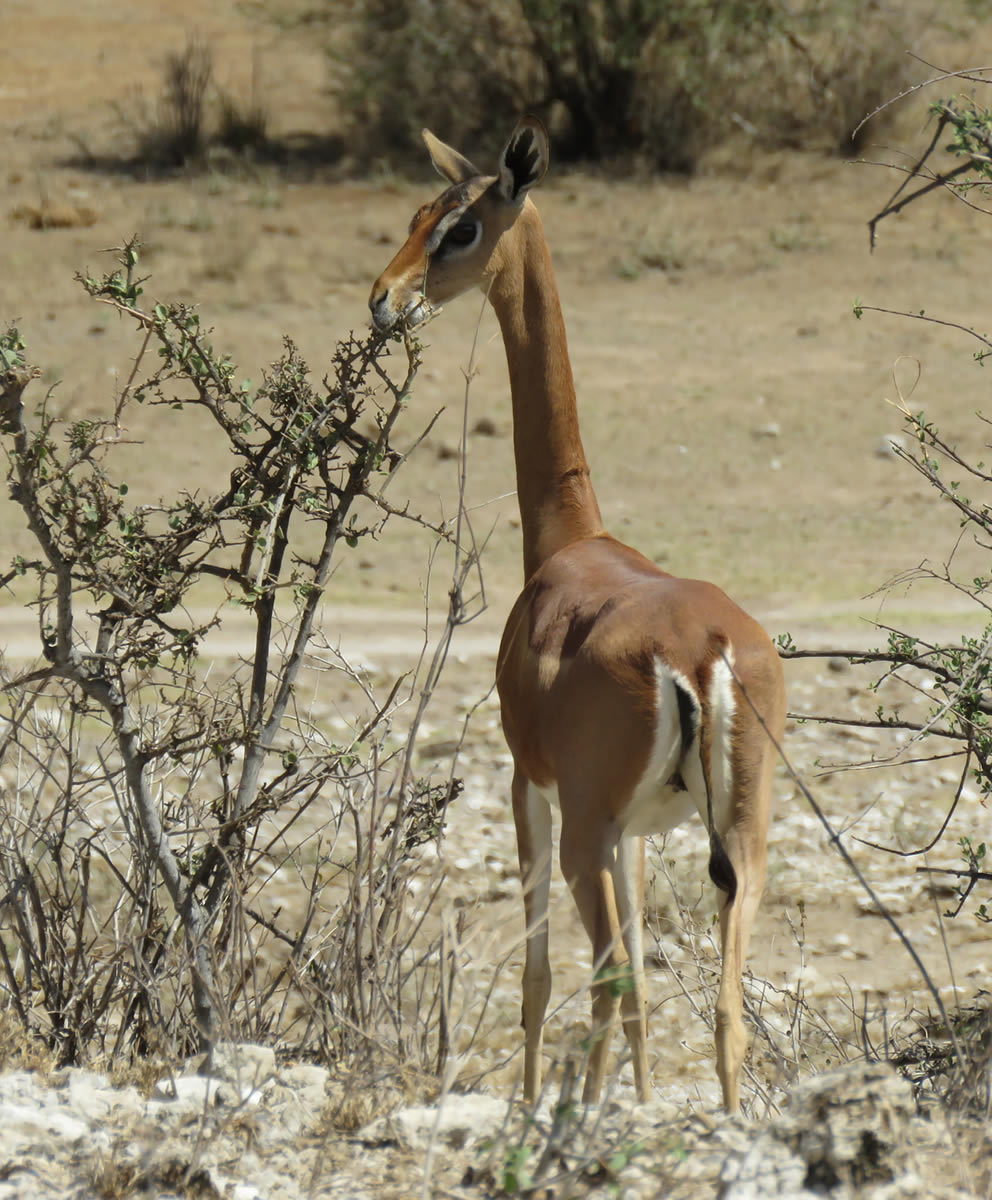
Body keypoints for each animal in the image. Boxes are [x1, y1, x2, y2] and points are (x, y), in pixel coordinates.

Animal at [369, 117, 786, 1108]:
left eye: (462, 227)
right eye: (416, 212)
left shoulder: (533, 787)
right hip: (739, 839)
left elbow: (539, 977)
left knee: (606, 975)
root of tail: (703, 651)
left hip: (586, 838)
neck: (573, 542)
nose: (385, 300)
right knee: (722, 1008)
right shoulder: (634, 834)